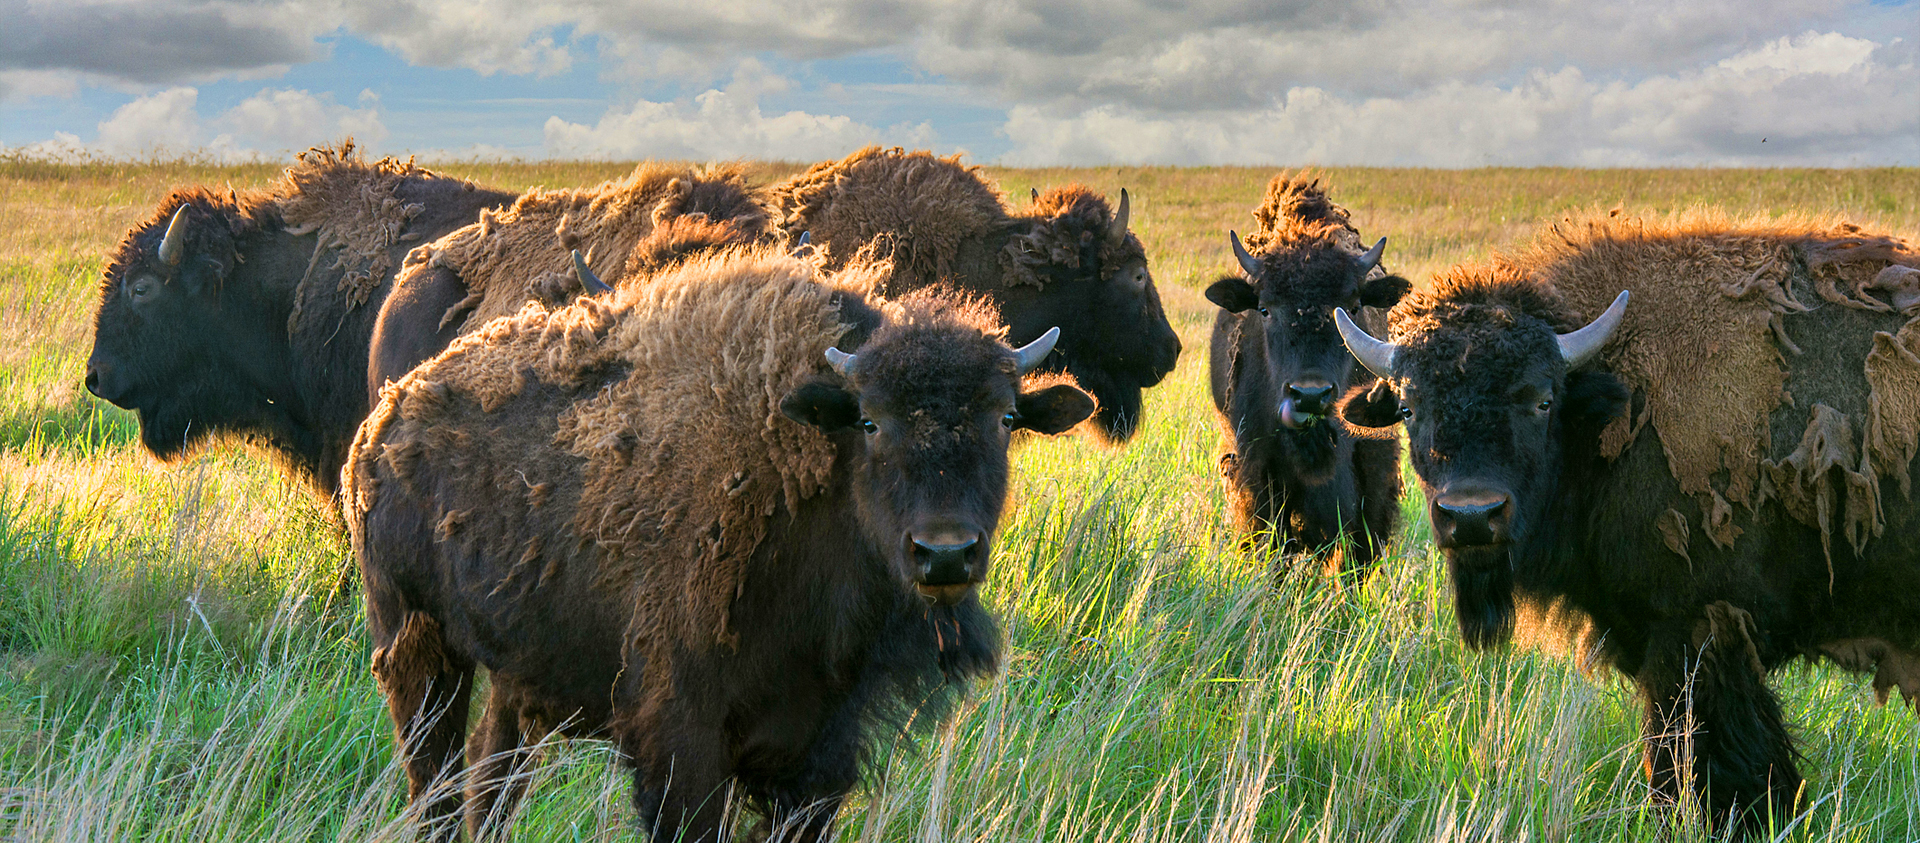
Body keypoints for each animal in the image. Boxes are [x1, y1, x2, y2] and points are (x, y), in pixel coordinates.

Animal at [344, 248, 1095, 841]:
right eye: (872, 421)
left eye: (1005, 418)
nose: (944, 553)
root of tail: (389, 414)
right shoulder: (681, 741)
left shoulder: (819, 751)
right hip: (418, 651)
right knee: (436, 784)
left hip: (513, 672)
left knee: (490, 781)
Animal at [1336, 212, 1920, 831]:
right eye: (1408, 407)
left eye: (1542, 401)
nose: (1472, 516)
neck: (1609, 397)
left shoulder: (1695, 632)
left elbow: (1702, 757)